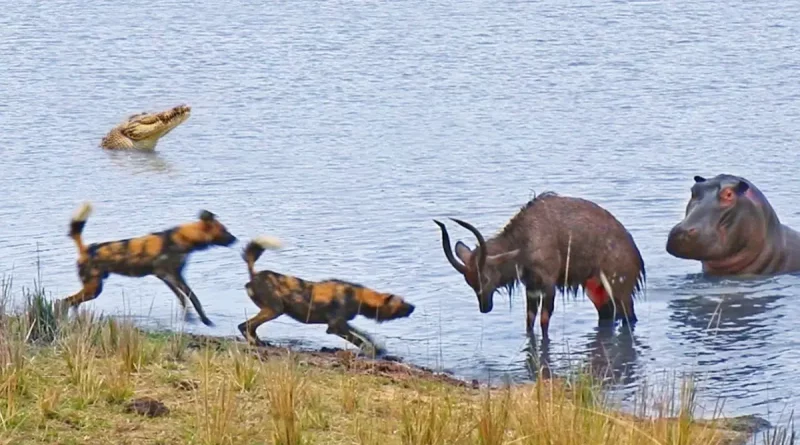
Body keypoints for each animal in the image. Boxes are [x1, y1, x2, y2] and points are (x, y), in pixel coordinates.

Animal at [57, 202, 236, 326]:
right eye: (224, 230)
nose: (235, 239)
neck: (182, 239)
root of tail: (86, 249)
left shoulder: (169, 277)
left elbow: (184, 299)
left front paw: (191, 319)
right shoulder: (171, 275)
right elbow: (192, 298)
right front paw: (205, 321)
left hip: (93, 289)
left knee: (72, 304)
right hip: (93, 289)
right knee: (64, 301)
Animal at [238, 236, 416, 354]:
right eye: (402, 302)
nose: (413, 307)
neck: (360, 297)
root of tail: (254, 275)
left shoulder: (342, 323)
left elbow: (364, 334)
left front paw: (377, 348)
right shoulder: (335, 326)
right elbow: (358, 339)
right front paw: (372, 351)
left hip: (272, 310)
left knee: (249, 327)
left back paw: (261, 344)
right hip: (275, 310)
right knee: (245, 326)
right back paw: (256, 344)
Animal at [434, 191, 648, 336]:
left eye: (485, 278)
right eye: (469, 282)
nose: (484, 307)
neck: (523, 242)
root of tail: (638, 259)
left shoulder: (549, 285)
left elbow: (544, 322)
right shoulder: (531, 288)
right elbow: (529, 322)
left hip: (619, 290)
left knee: (629, 317)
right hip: (596, 291)